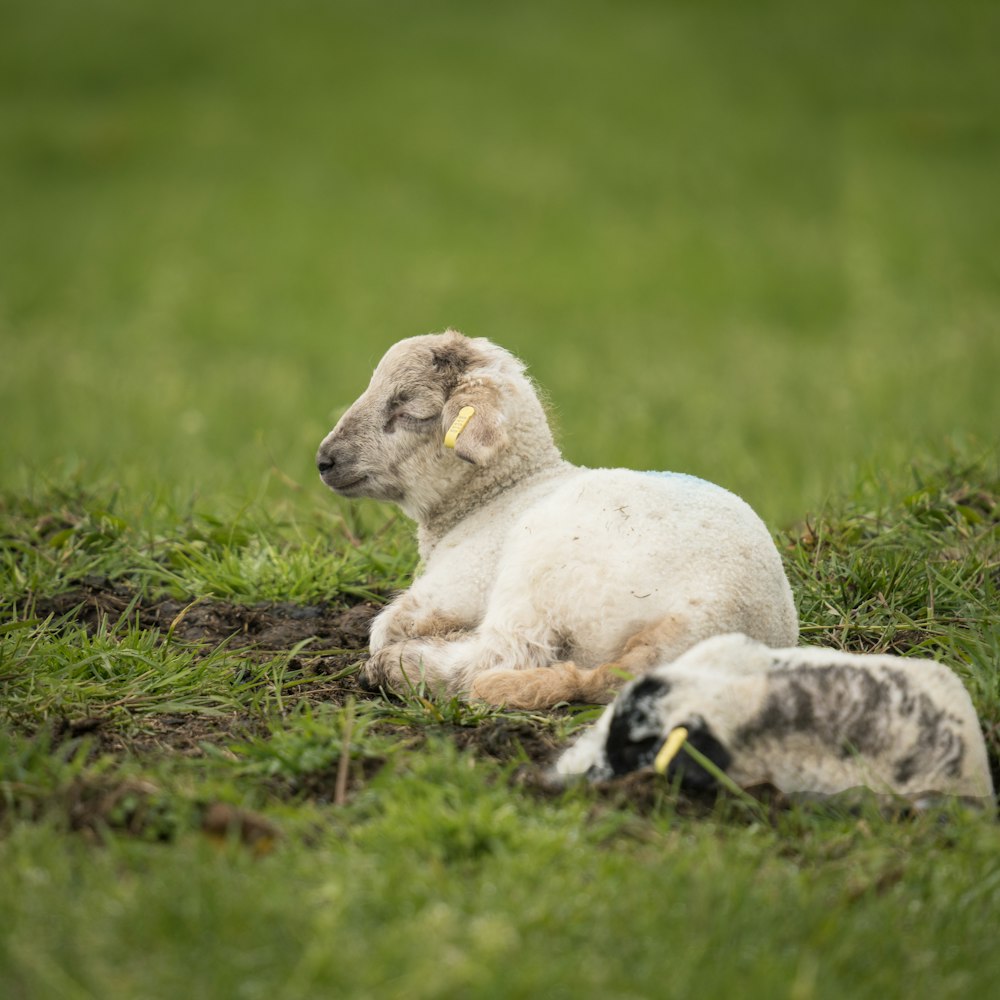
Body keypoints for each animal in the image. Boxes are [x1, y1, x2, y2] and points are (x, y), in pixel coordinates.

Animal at [316, 332, 800, 708]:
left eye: (409, 409)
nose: (324, 461)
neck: (503, 490)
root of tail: (703, 620)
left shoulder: (456, 585)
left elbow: (387, 625)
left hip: (541, 569)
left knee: (499, 658)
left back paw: (398, 667)